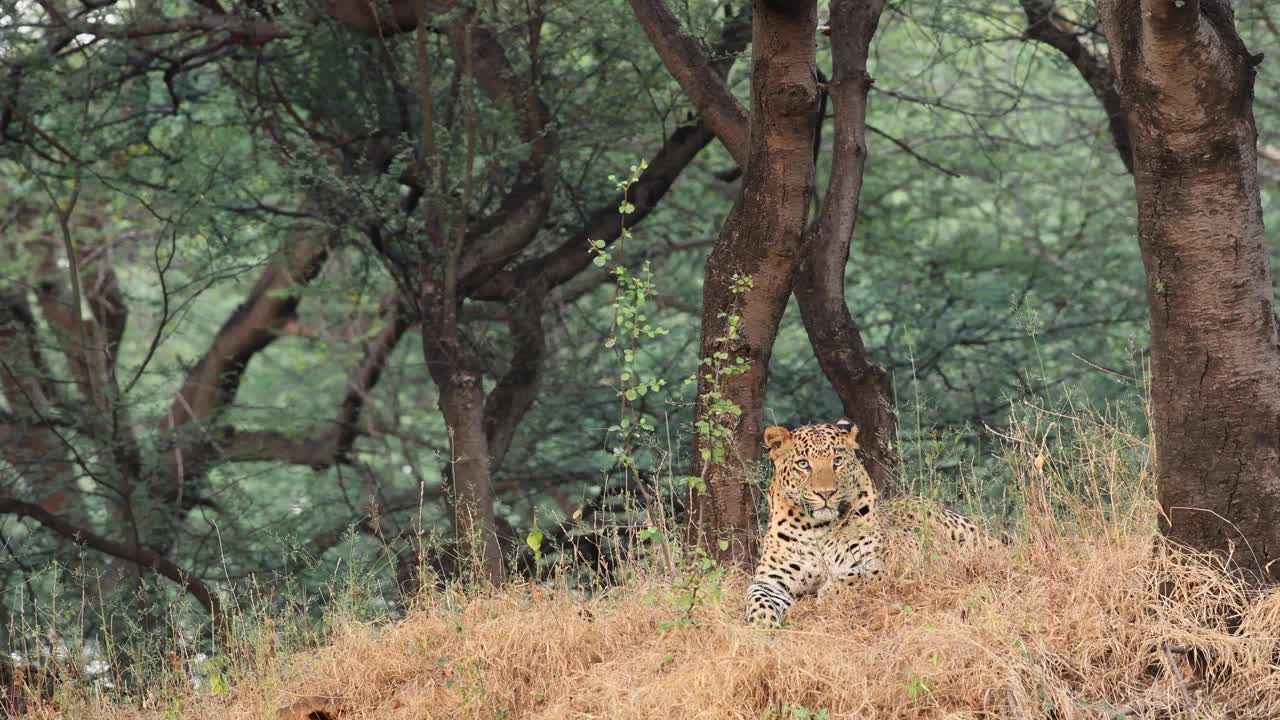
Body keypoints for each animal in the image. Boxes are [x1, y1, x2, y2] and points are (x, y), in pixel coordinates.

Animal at [747, 417, 993, 625]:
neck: (818, 529)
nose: (826, 493)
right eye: (803, 464)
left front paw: (826, 595)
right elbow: (756, 596)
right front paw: (763, 622)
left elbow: (853, 577)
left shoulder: (879, 563)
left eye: (837, 461)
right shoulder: (770, 580)